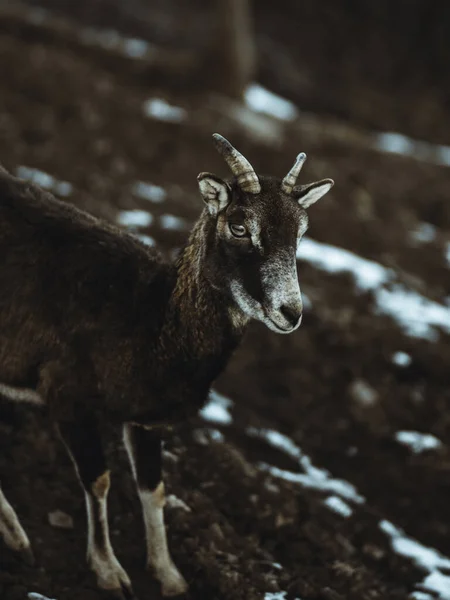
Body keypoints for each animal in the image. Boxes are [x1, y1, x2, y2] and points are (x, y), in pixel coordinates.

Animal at [0, 134, 330, 596]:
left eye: (300, 232)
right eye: (239, 226)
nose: (290, 312)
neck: (151, 321)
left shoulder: (146, 421)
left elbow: (153, 490)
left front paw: (170, 576)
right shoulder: (68, 399)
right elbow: (99, 480)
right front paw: (109, 572)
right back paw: (18, 538)